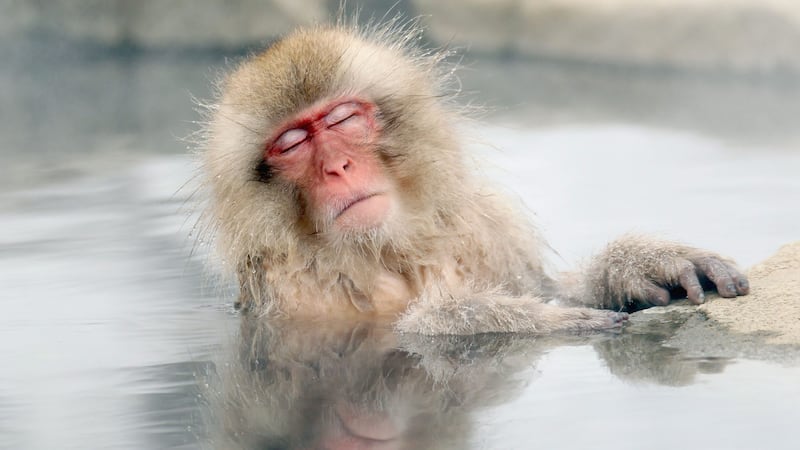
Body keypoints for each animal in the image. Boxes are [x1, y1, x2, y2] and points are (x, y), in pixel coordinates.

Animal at [197, 21, 749, 336]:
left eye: (341, 120)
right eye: (292, 144)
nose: (337, 166)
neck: (390, 251)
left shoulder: (487, 228)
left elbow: (544, 285)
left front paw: (633, 266)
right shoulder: (296, 291)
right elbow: (412, 333)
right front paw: (536, 320)